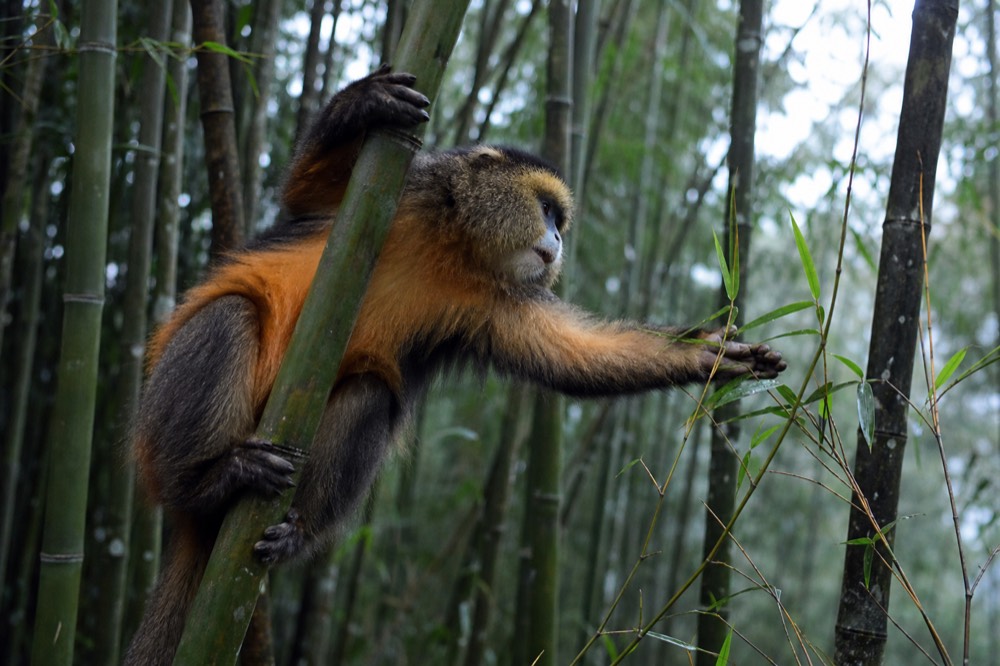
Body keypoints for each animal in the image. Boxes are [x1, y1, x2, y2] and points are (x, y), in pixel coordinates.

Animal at [124, 66, 785, 665]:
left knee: (371, 394)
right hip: (159, 425)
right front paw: (364, 101)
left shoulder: (497, 302)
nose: (557, 241)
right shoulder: (406, 186)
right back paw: (210, 479)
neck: (456, 243)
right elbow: (306, 187)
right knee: (229, 318)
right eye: (546, 209)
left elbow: (573, 355)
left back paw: (296, 529)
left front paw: (712, 355)